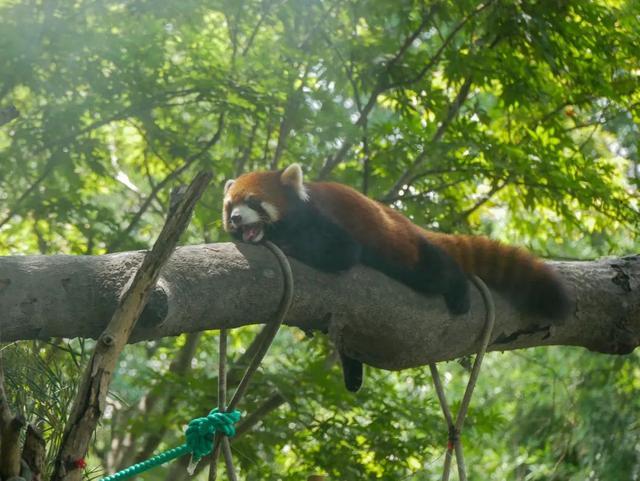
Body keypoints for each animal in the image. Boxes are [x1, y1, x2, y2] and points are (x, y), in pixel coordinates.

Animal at [224, 164, 568, 390]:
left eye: (253, 201)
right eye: (230, 206)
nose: (235, 219)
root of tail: (412, 226)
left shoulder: (324, 223)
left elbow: (342, 252)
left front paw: (285, 244)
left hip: (410, 254)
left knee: (438, 271)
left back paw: (457, 289)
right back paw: (353, 374)